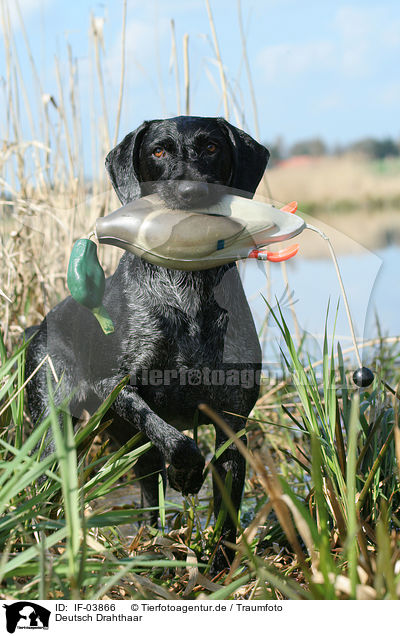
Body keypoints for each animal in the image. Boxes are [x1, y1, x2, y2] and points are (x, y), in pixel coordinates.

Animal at [25, 115, 268, 572]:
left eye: (211, 147)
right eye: (158, 150)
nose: (190, 192)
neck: (187, 292)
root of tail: (40, 325)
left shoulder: (233, 422)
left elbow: (226, 513)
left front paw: (219, 570)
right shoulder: (114, 386)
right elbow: (181, 442)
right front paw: (186, 475)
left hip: (134, 448)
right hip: (54, 430)